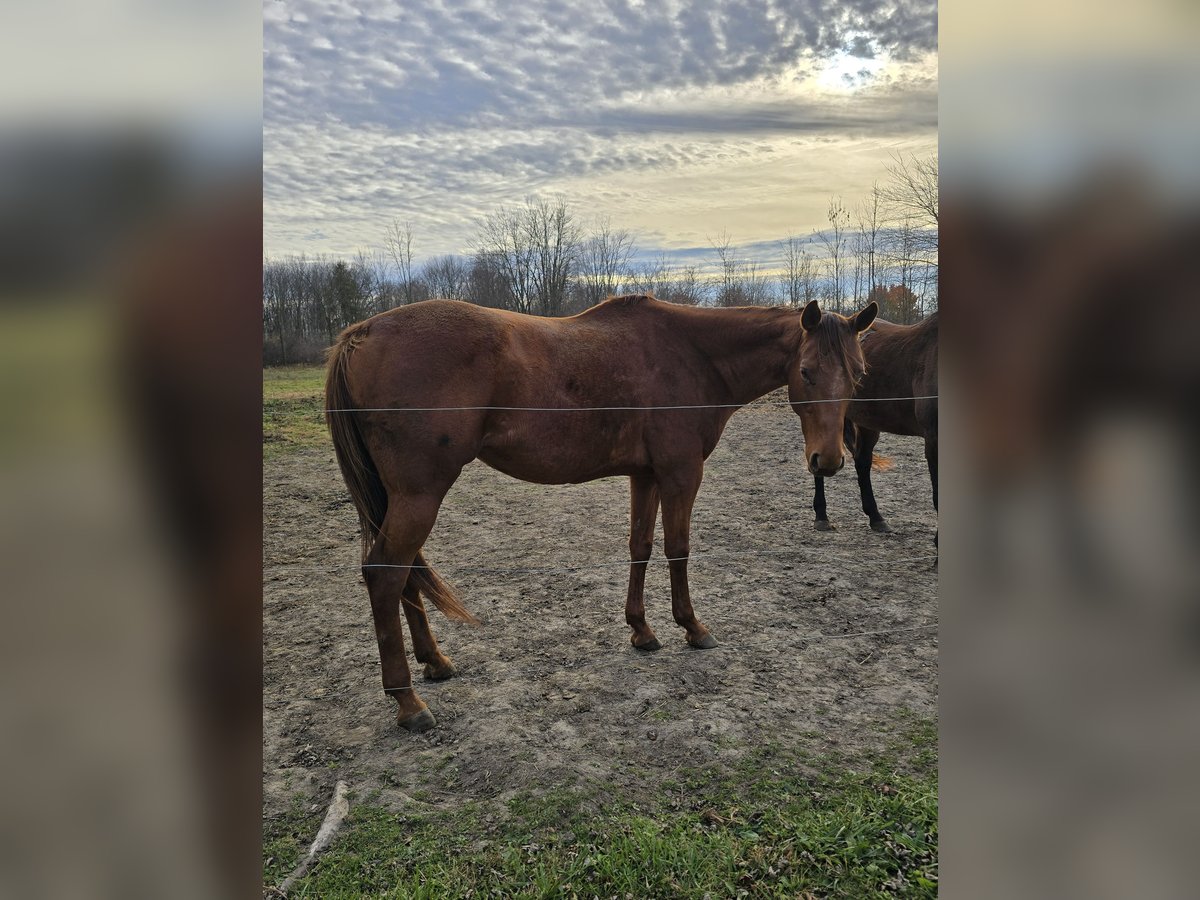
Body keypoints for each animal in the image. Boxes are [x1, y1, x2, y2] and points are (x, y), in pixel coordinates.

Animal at [326, 296, 873, 734]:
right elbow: (678, 549)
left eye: (859, 374)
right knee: (385, 573)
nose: (828, 461)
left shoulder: (646, 475)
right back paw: (408, 702)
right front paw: (692, 627)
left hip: (404, 497)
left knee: (406, 574)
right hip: (421, 494)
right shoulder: (680, 473)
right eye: (807, 372)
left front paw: (642, 630)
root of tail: (362, 333)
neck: (692, 354)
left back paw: (435, 662)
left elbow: (641, 547)